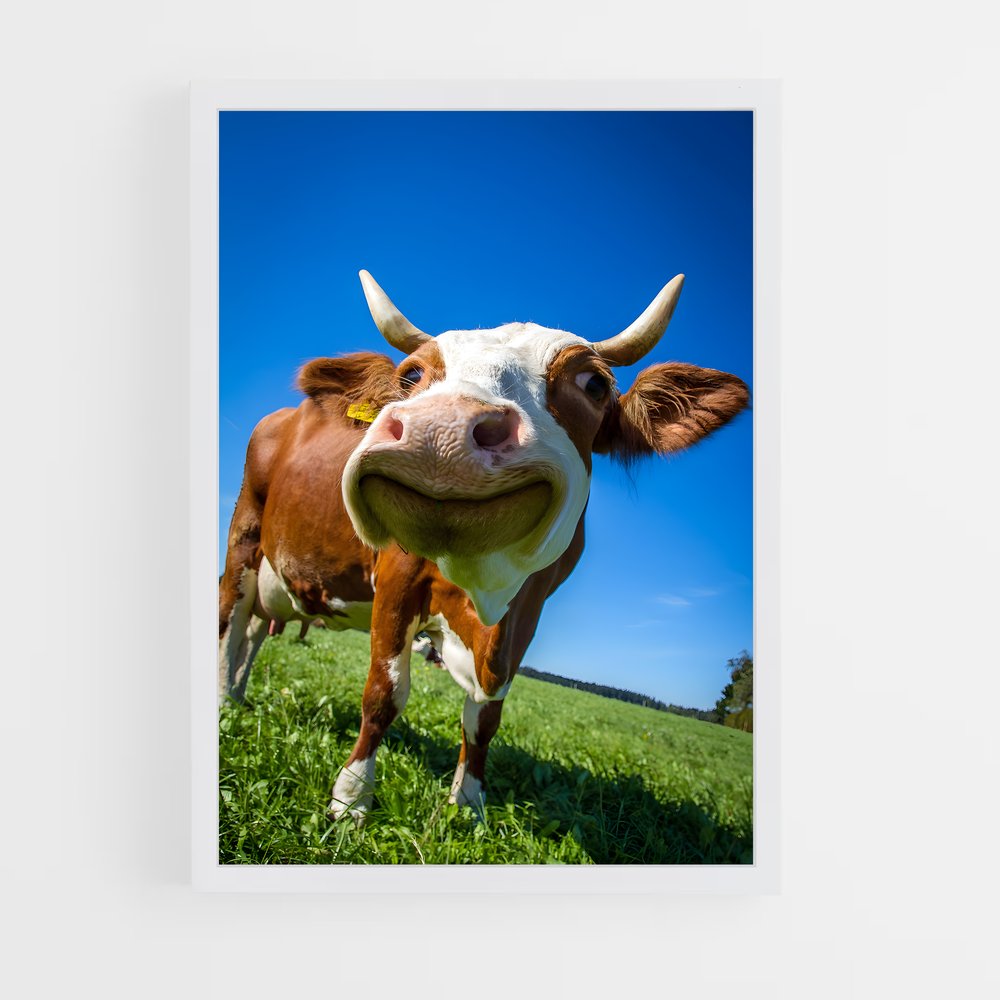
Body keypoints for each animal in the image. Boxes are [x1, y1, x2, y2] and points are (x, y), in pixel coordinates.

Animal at [218, 271, 749, 823]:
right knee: (231, 621)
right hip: (243, 539)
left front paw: (468, 801)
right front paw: (351, 798)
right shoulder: (396, 579)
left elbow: (486, 715)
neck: (483, 589)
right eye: (411, 375)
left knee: (254, 631)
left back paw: (239, 694)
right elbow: (384, 693)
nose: (440, 429)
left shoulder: (528, 610)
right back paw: (223, 704)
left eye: (594, 384)